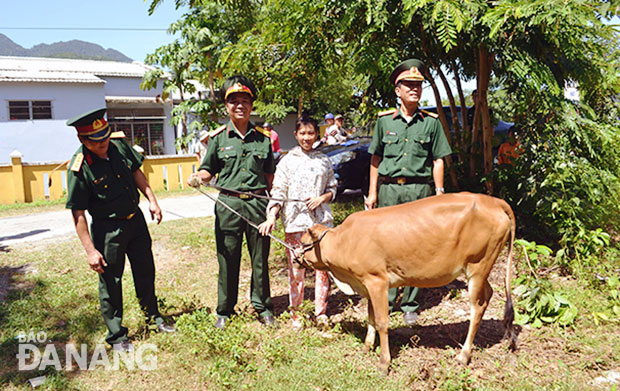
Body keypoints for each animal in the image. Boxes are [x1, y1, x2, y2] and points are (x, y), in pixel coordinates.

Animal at [296, 194, 520, 372]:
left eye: (303, 242)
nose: (295, 257)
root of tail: (493, 201)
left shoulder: (376, 280)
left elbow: (381, 322)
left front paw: (384, 363)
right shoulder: (367, 283)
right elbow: (370, 317)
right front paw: (367, 347)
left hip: (478, 267)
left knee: (477, 307)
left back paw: (463, 355)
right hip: (481, 271)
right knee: (489, 294)